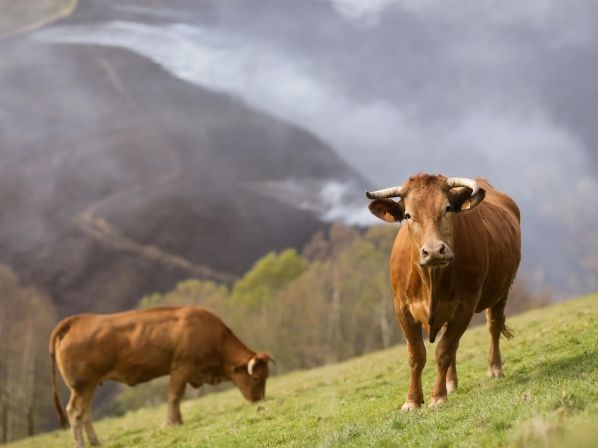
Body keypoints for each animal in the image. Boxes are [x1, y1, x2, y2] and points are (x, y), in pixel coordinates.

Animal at [50, 306, 274, 448]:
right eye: (256, 379)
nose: (259, 400)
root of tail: (77, 321)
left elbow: (178, 397)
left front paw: (179, 420)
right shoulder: (182, 367)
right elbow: (174, 395)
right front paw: (171, 423)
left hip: (91, 385)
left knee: (85, 413)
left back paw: (95, 442)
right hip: (82, 386)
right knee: (75, 412)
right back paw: (79, 444)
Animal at [366, 174, 520, 411]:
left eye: (447, 208)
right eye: (408, 215)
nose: (433, 251)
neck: (431, 280)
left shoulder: (465, 307)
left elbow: (444, 351)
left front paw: (437, 396)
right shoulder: (402, 309)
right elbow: (416, 355)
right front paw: (412, 400)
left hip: (501, 290)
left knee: (493, 326)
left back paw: (494, 369)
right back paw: (451, 383)